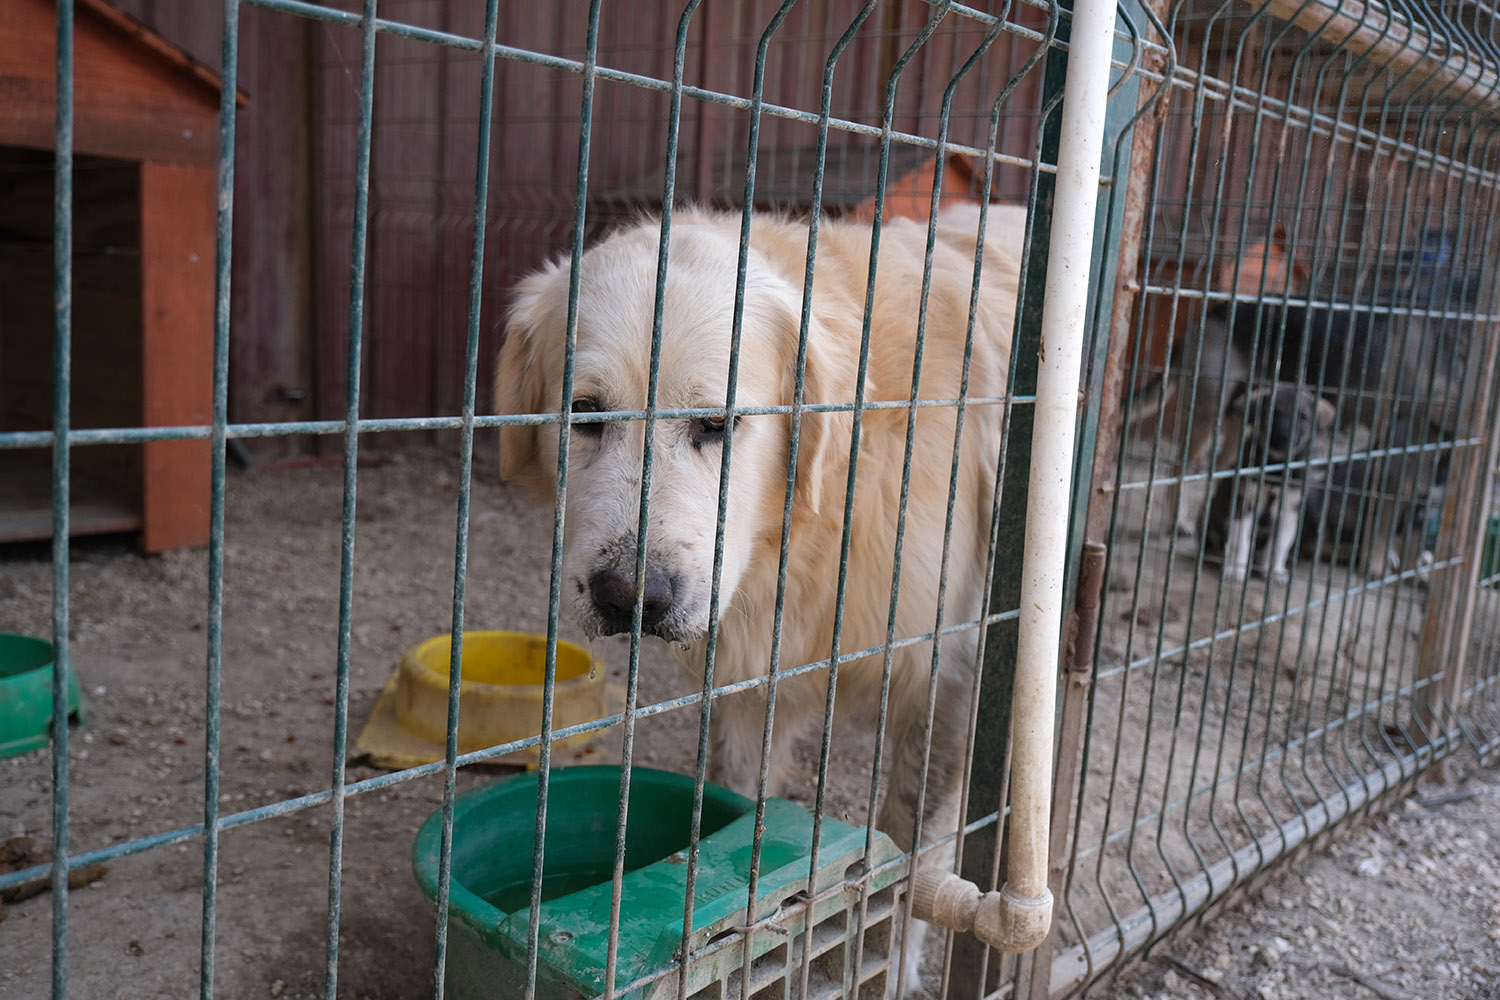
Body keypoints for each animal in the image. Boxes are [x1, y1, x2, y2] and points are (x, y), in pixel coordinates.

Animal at [498, 203, 1026, 983]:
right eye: (585, 413)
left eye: (716, 424)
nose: (630, 597)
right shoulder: (749, 684)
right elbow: (742, 812)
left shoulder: (948, 677)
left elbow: (909, 861)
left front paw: (882, 969)